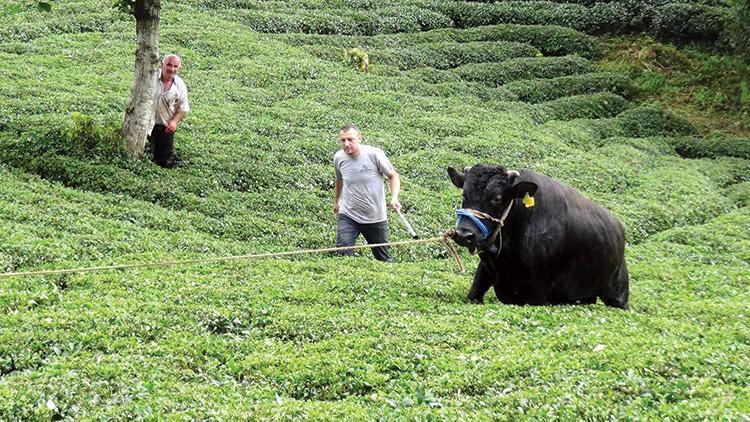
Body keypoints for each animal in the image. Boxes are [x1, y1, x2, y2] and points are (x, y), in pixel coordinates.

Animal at [450, 166, 632, 310]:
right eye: (464, 194)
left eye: (497, 198)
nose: (464, 234)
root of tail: (619, 228)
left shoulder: (537, 294)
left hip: (618, 294)